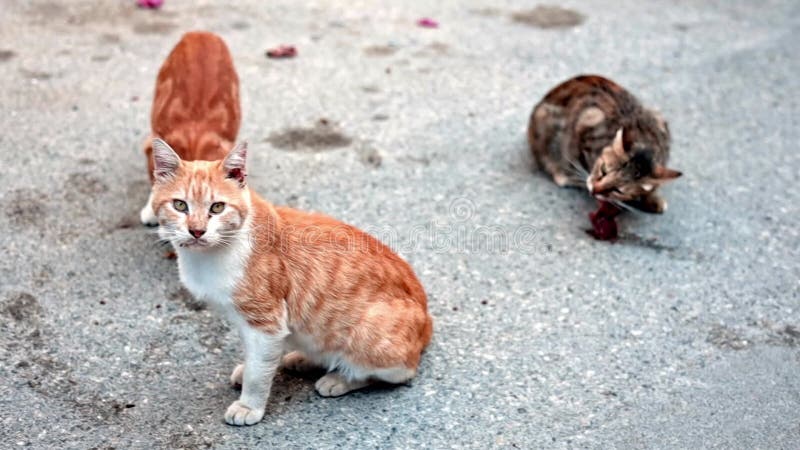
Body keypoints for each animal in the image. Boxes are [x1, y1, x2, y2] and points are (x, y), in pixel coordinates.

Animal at [147, 140, 434, 426]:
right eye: (180, 205)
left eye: (217, 207)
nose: (196, 231)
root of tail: (427, 317)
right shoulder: (261, 325)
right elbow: (258, 359)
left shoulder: (266, 323)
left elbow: (257, 373)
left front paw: (249, 404)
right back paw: (303, 359)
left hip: (370, 337)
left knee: (395, 372)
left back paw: (341, 378)